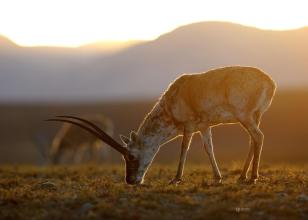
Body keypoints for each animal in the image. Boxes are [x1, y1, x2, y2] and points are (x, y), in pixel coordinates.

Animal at [47, 66, 276, 185]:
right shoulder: (204, 126)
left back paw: (252, 177)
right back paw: (242, 176)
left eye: (131, 156)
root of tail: (269, 81)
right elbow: (208, 148)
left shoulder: (189, 125)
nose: (131, 180)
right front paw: (218, 177)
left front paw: (176, 179)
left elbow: (184, 148)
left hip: (245, 116)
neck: (173, 97)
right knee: (253, 140)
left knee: (259, 137)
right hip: (253, 117)